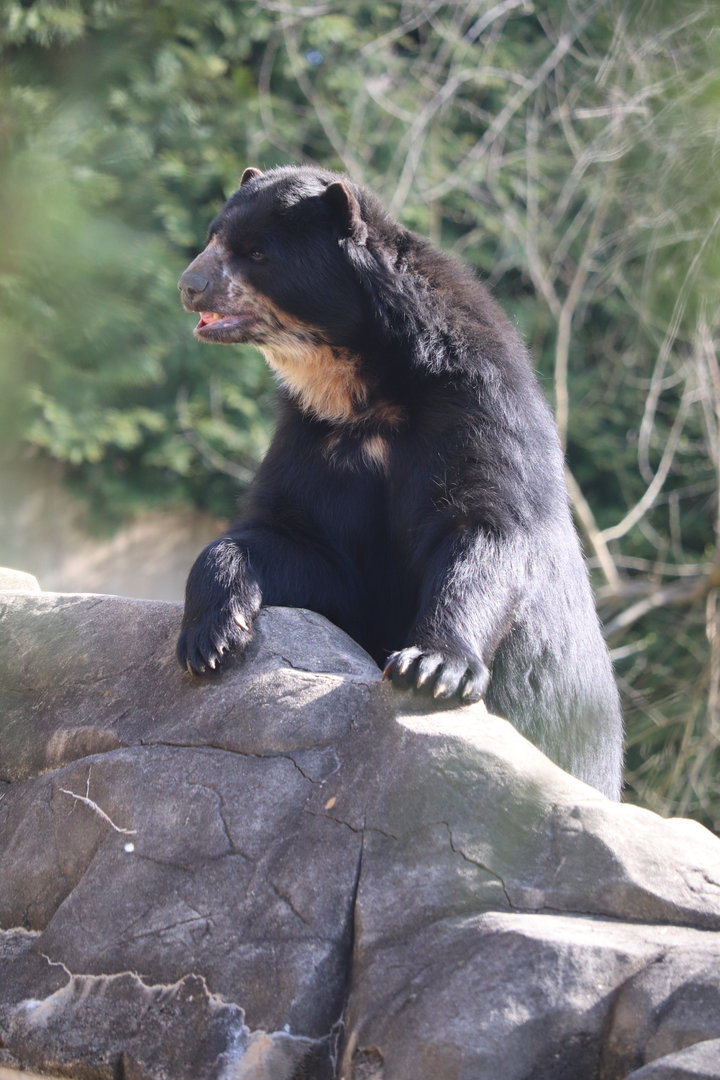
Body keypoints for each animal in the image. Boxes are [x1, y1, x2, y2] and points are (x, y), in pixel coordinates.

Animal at [176, 164, 623, 800]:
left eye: (257, 253)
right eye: (214, 238)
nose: (190, 285)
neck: (364, 389)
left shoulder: (477, 412)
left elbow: (486, 530)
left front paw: (432, 668)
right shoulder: (316, 439)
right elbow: (300, 543)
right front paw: (211, 638)